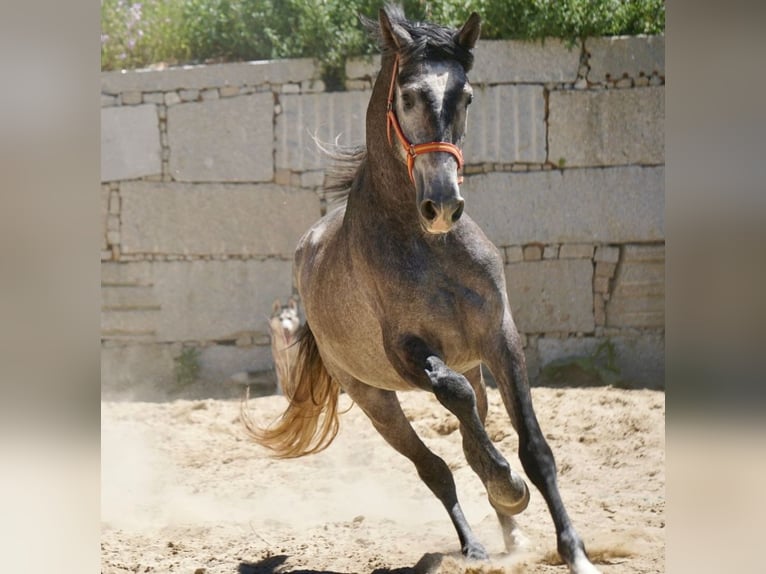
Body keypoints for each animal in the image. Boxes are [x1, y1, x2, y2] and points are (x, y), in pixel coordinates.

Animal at [243, 5, 604, 574]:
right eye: (408, 96)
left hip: (471, 368)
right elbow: (455, 405)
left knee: (469, 439)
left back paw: (511, 535)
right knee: (434, 466)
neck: (427, 247)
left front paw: (574, 552)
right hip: (372, 397)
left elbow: (534, 449)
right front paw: (509, 487)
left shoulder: (500, 337)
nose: (442, 205)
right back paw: (475, 544)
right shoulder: (407, 352)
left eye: (467, 97)